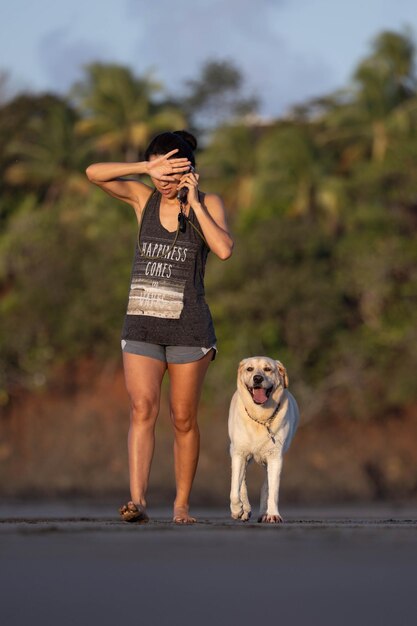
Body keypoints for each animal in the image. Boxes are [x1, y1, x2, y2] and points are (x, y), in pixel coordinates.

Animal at [228, 356, 300, 520]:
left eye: (268, 369)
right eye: (250, 369)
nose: (258, 378)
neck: (260, 417)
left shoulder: (275, 457)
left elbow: (272, 491)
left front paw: (273, 515)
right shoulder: (239, 453)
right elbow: (235, 487)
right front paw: (237, 509)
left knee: (266, 486)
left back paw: (263, 513)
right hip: (238, 453)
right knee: (242, 482)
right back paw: (245, 509)